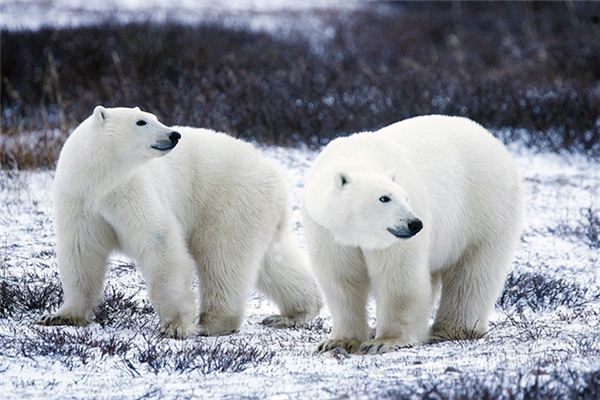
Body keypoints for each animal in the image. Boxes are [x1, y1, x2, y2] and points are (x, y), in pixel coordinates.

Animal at [38, 106, 322, 338]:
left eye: (155, 117)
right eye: (141, 121)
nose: (174, 135)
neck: (99, 180)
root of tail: (275, 173)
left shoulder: (131, 190)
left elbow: (159, 241)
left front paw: (175, 326)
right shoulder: (78, 199)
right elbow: (81, 252)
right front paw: (60, 316)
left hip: (230, 200)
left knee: (222, 257)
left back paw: (212, 323)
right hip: (258, 211)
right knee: (273, 260)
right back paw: (294, 313)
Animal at [302, 115, 524, 354]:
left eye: (405, 197)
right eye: (384, 198)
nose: (415, 224)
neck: (358, 154)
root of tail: (492, 139)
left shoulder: (394, 240)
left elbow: (399, 277)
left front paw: (384, 341)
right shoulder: (327, 232)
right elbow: (341, 279)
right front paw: (337, 342)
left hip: (485, 209)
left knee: (473, 273)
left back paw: (451, 329)